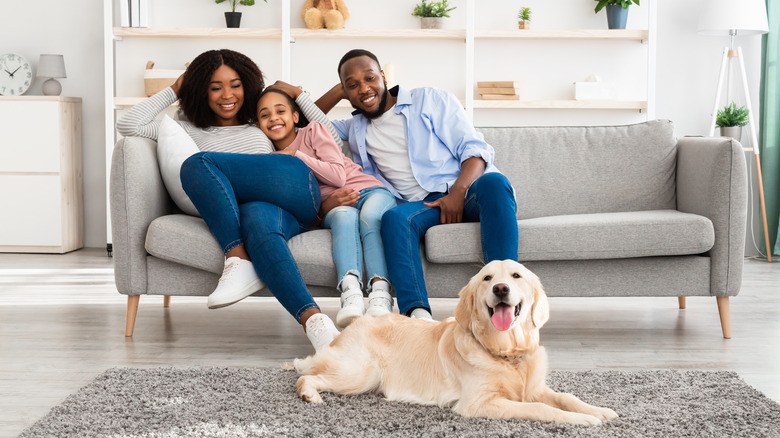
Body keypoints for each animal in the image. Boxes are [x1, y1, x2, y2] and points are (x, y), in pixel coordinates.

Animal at [290, 260, 620, 424]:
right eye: (487, 278)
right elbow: (541, 409)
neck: (506, 352)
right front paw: (583, 421)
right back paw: (310, 395)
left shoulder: (535, 388)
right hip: (362, 373)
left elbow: (566, 397)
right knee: (306, 376)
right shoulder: (479, 403)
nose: (501, 288)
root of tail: (349, 328)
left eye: (516, 275)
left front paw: (599, 411)